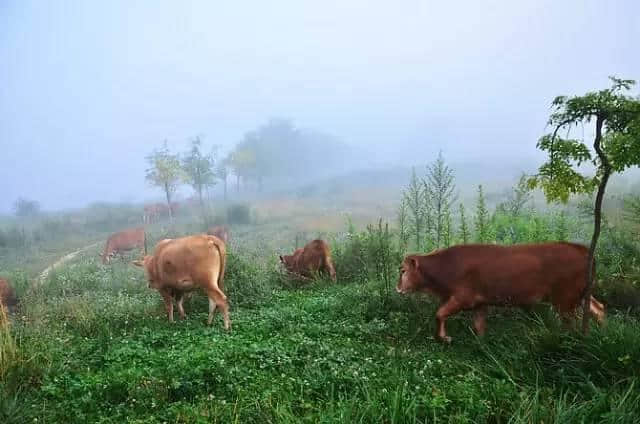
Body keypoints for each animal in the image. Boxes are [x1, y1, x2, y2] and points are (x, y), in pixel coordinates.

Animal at [398, 240, 608, 342]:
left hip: (565, 299)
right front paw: (482, 343)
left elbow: (439, 313)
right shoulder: (480, 302)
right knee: (598, 308)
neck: (445, 266)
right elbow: (479, 325)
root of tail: (583, 250)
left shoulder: (462, 297)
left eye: (402, 270)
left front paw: (444, 337)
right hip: (582, 294)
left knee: (570, 322)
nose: (397, 288)